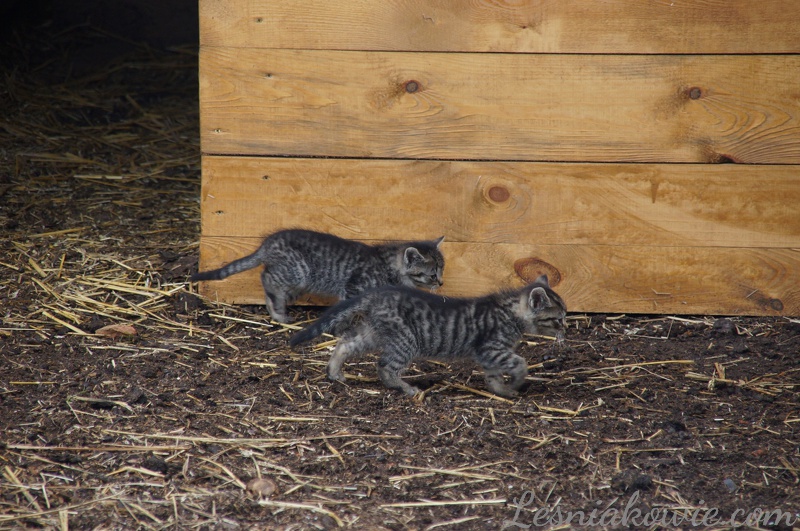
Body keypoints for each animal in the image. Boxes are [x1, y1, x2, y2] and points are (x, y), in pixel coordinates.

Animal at [191, 230, 446, 324]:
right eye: (433, 275)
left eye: (442, 271)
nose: (442, 282)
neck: (388, 265)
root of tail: (268, 244)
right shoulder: (352, 287)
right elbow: (346, 308)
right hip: (298, 272)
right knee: (267, 277)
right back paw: (277, 311)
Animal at [290, 276, 564, 396]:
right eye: (559, 317)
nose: (566, 329)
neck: (511, 311)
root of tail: (375, 294)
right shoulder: (492, 348)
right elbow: (520, 363)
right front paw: (516, 383)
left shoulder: (490, 355)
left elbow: (493, 376)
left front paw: (501, 390)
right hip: (406, 340)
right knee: (385, 366)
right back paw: (404, 387)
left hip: (374, 332)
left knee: (346, 343)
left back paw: (334, 371)